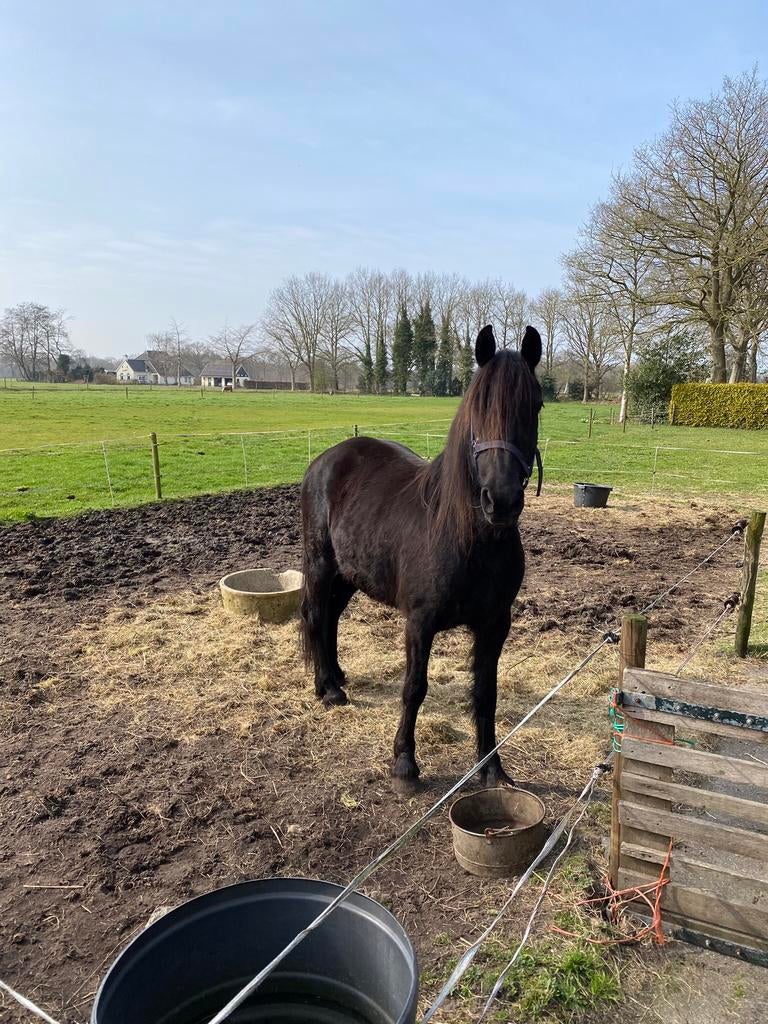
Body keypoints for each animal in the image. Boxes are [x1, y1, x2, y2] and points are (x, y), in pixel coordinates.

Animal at [300, 323, 543, 792]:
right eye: (477, 406)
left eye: (536, 405)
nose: (501, 501)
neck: (468, 539)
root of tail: (323, 460)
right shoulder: (420, 622)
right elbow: (414, 687)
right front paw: (404, 764)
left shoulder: (495, 624)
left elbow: (486, 692)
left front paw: (491, 768)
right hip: (321, 564)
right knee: (317, 615)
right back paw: (328, 689)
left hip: (350, 574)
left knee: (332, 617)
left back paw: (337, 676)